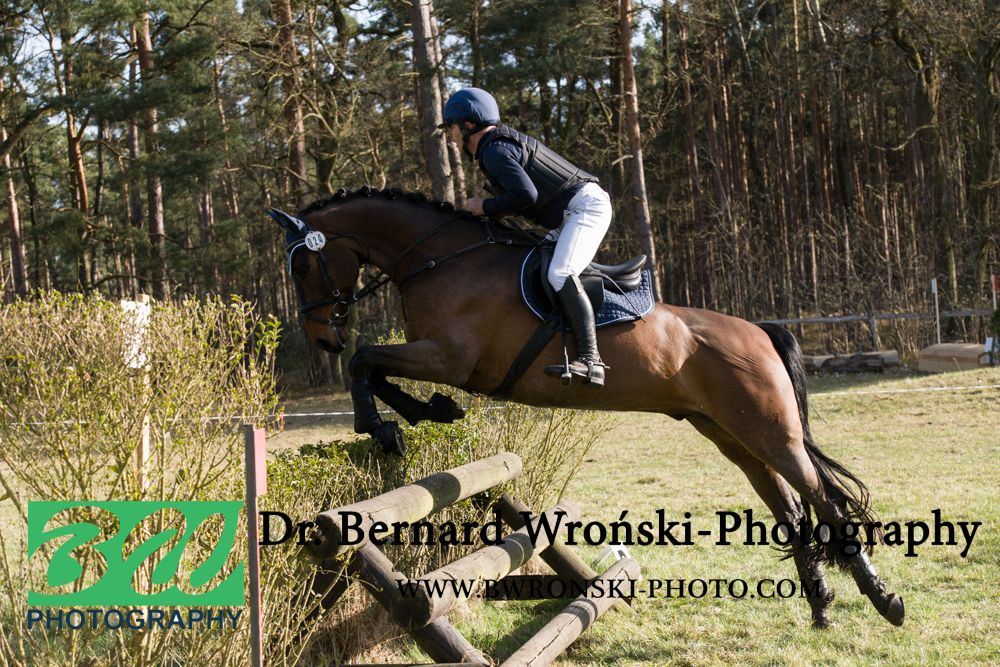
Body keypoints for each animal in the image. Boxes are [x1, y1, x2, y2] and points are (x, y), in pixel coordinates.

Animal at [269, 185, 905, 630]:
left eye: (301, 265)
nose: (323, 339)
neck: (439, 257)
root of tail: (760, 330)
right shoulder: (438, 357)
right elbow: (373, 367)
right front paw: (427, 415)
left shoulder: (450, 358)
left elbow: (367, 363)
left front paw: (385, 426)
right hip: (733, 436)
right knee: (792, 510)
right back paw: (821, 607)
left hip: (773, 433)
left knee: (827, 503)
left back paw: (885, 601)